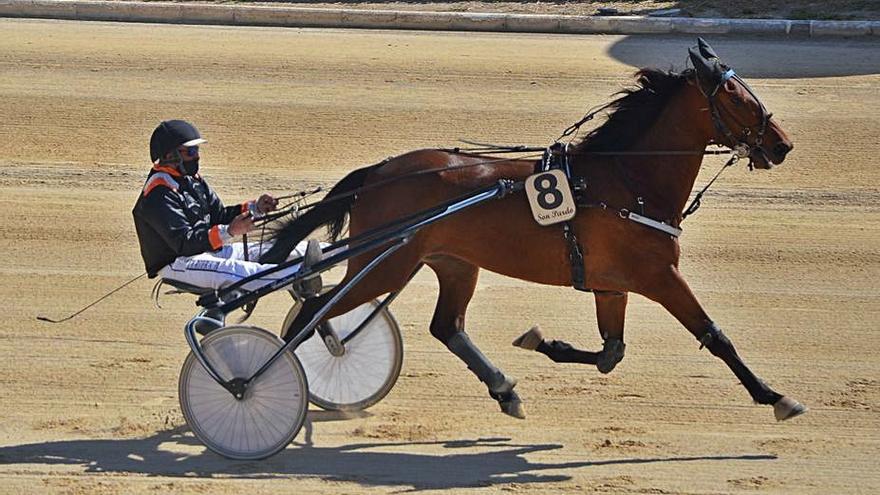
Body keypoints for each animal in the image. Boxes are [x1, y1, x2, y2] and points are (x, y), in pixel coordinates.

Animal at [260, 39, 804, 422]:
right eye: (736, 96)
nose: (783, 145)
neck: (626, 180)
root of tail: (378, 171)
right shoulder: (659, 277)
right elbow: (715, 336)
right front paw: (775, 395)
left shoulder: (612, 286)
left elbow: (610, 354)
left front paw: (541, 342)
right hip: (386, 266)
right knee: (312, 310)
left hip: (453, 264)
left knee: (446, 326)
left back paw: (504, 389)